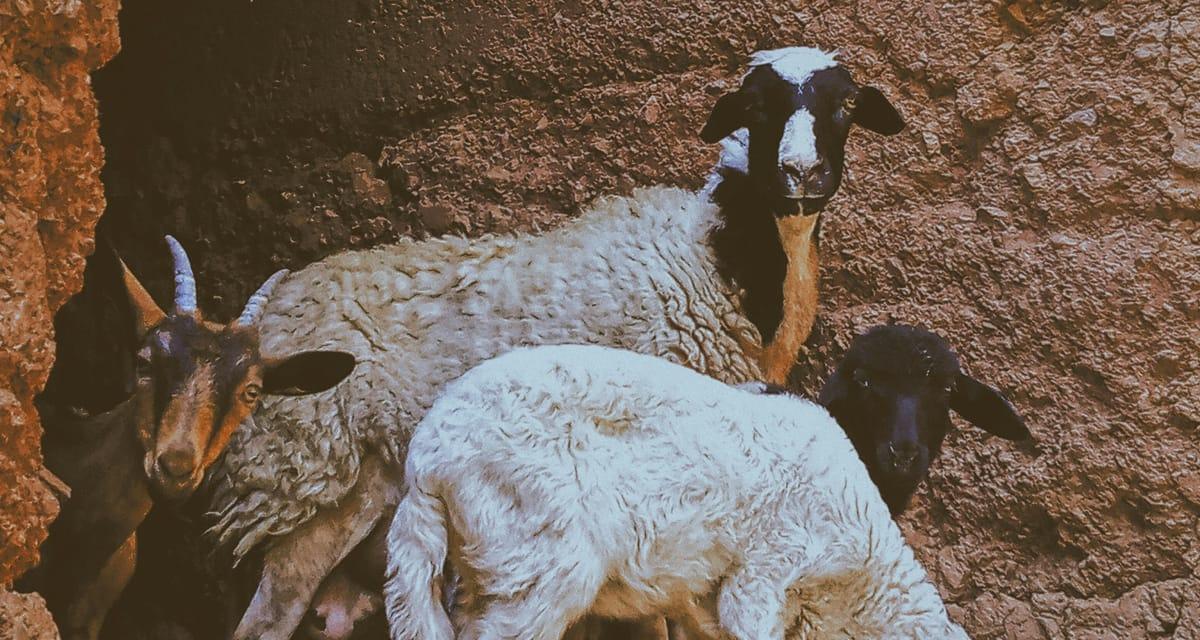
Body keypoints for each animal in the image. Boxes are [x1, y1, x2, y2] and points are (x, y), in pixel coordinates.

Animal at [209, 46, 906, 640]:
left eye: (845, 104)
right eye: (758, 106)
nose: (802, 174)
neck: (720, 253)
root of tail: (269, 309)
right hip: (307, 476)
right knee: (265, 618)